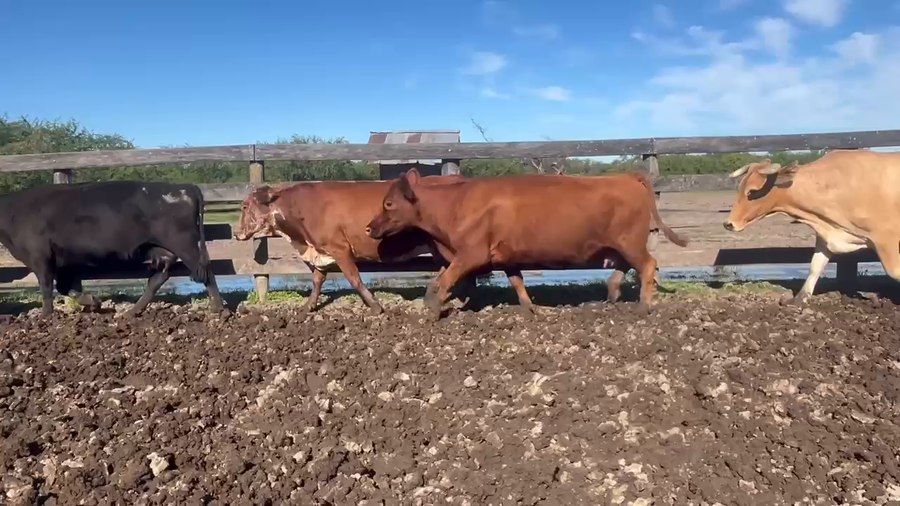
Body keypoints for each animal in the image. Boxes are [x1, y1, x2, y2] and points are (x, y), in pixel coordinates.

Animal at [0, 181, 225, 317]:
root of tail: (186, 187)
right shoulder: (63, 260)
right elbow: (64, 287)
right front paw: (93, 301)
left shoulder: (40, 256)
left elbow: (47, 287)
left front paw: (45, 315)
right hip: (160, 249)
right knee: (159, 277)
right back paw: (131, 312)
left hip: (184, 244)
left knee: (206, 272)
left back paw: (219, 309)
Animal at [233, 175, 499, 316]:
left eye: (245, 206)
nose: (236, 233)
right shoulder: (319, 251)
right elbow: (317, 280)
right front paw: (309, 306)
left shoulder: (340, 248)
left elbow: (354, 278)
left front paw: (374, 305)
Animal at [365, 168, 689, 320]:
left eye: (388, 203)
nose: (369, 227)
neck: (456, 205)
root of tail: (627, 176)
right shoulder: (505, 256)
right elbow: (517, 282)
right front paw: (529, 309)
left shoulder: (471, 253)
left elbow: (444, 280)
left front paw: (432, 309)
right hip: (621, 243)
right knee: (624, 266)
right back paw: (609, 296)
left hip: (630, 240)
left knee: (648, 265)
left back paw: (643, 306)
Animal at [723, 150, 900, 303]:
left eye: (752, 191)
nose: (728, 223)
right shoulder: (825, 237)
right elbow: (815, 266)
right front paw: (800, 299)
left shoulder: (886, 238)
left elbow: (895, 272)